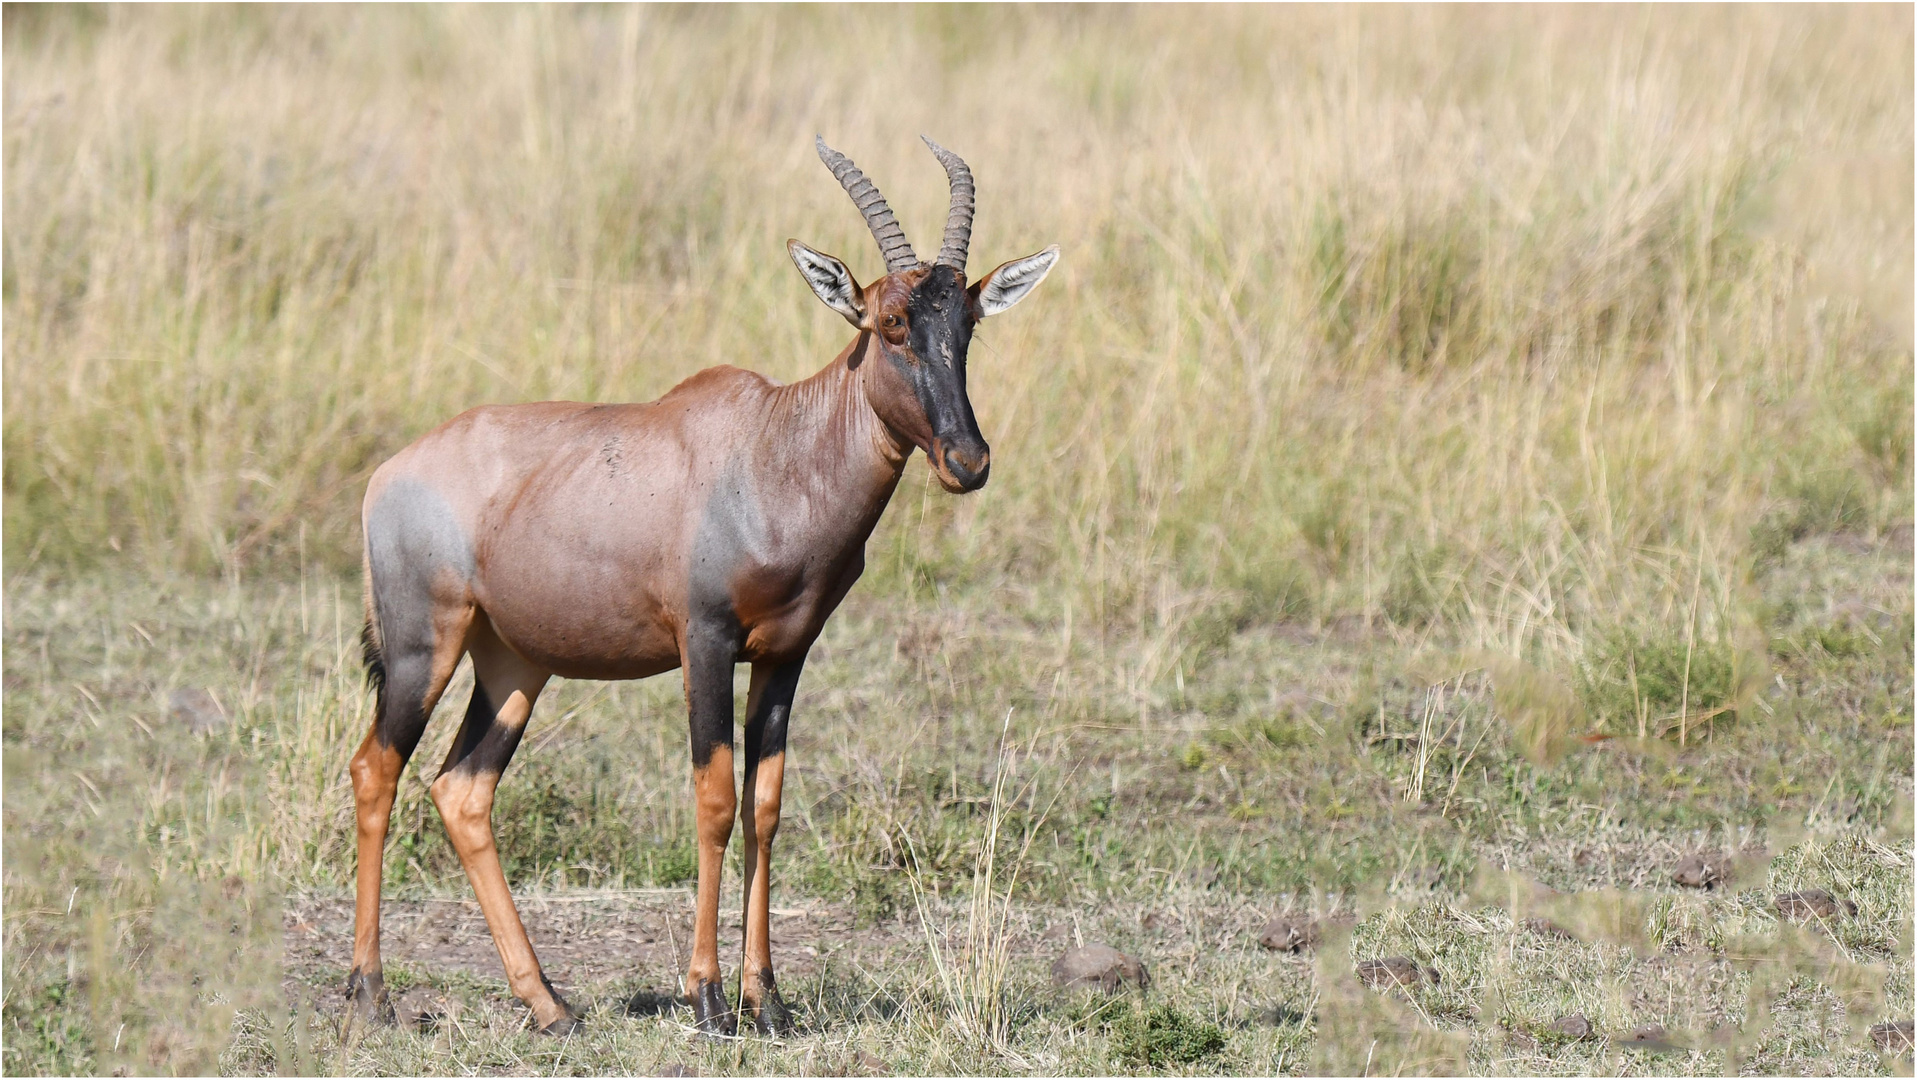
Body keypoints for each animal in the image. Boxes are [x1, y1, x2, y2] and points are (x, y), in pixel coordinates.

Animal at [348, 139, 1065, 1035]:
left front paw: (768, 1000)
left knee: (462, 791)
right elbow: (714, 800)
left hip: (514, 665)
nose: (967, 462)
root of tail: (389, 473)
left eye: (966, 324)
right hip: (424, 649)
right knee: (375, 772)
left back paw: (548, 1004)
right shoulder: (705, 644)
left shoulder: (786, 656)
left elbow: (765, 806)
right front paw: (709, 996)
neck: (772, 448)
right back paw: (371, 994)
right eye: (889, 323)